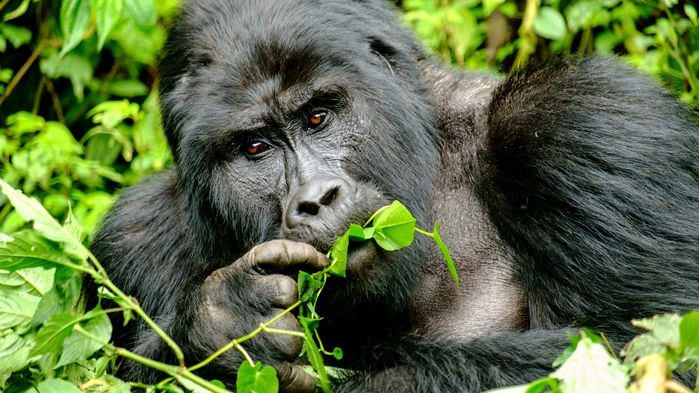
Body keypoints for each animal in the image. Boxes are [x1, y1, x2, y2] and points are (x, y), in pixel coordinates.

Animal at [87, 0, 699, 390]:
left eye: (318, 116)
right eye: (255, 148)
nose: (315, 199)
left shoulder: (581, 119)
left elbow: (646, 349)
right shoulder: (133, 239)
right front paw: (221, 327)